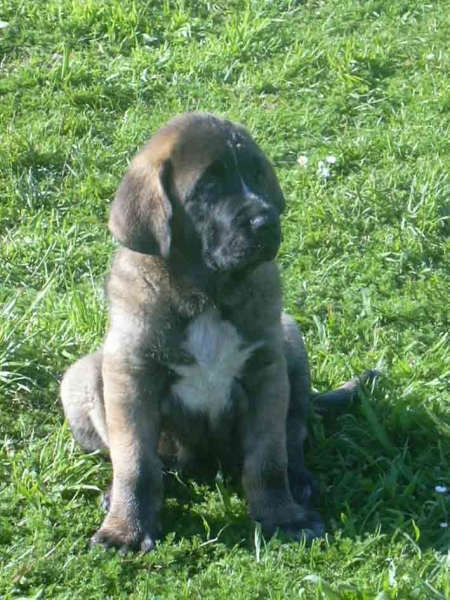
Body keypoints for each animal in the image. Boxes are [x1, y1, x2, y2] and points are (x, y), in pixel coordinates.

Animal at [60, 112, 376, 552]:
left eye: (258, 175)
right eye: (209, 186)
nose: (266, 221)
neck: (207, 294)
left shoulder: (265, 372)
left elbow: (268, 458)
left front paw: (284, 517)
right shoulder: (132, 375)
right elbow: (135, 464)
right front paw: (126, 529)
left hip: (290, 340)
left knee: (294, 433)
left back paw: (299, 481)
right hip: (84, 375)